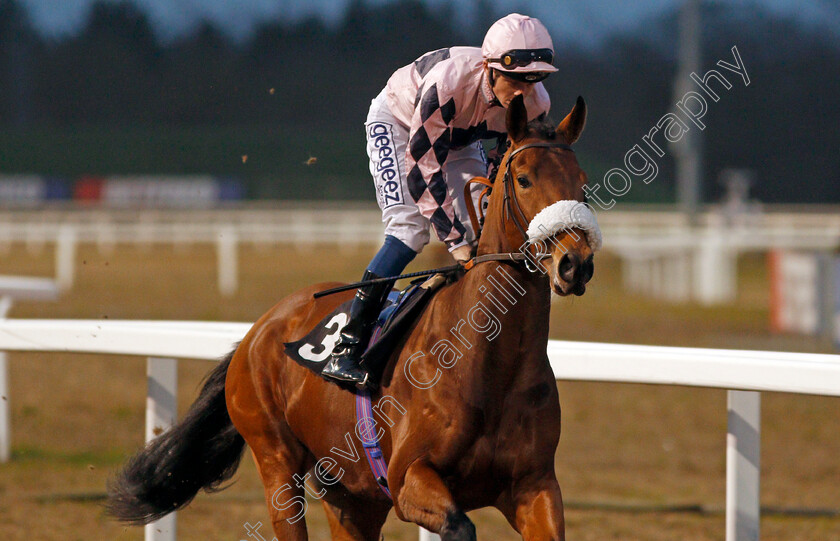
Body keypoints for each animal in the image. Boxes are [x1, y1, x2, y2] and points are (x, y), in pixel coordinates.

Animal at [108, 94, 596, 540]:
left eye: (583, 182)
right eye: (524, 178)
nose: (575, 264)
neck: (489, 362)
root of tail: (256, 332)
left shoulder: (534, 486)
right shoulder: (407, 479)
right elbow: (460, 526)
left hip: (349, 495)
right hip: (278, 467)